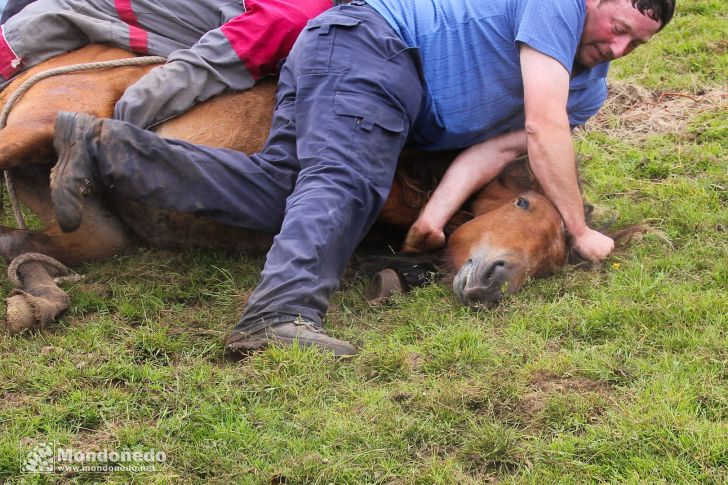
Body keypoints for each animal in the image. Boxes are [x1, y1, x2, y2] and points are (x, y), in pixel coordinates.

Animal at [0, 45, 572, 330]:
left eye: (550, 263)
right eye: (523, 202)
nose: (494, 282)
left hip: (94, 227)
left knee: (28, 242)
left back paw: (36, 297)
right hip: (31, 126)